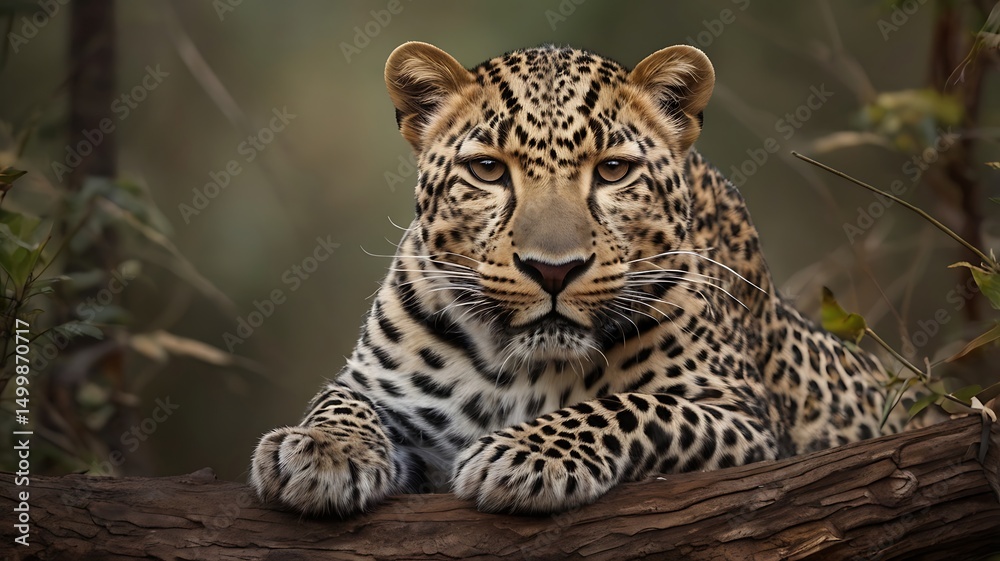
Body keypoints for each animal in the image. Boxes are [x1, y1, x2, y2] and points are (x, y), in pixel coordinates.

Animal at [249, 41, 913, 516]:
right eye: (488, 170)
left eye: (613, 170)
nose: (553, 270)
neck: (517, 369)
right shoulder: (384, 388)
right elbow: (339, 400)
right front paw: (318, 450)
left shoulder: (745, 421)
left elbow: (634, 405)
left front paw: (525, 455)